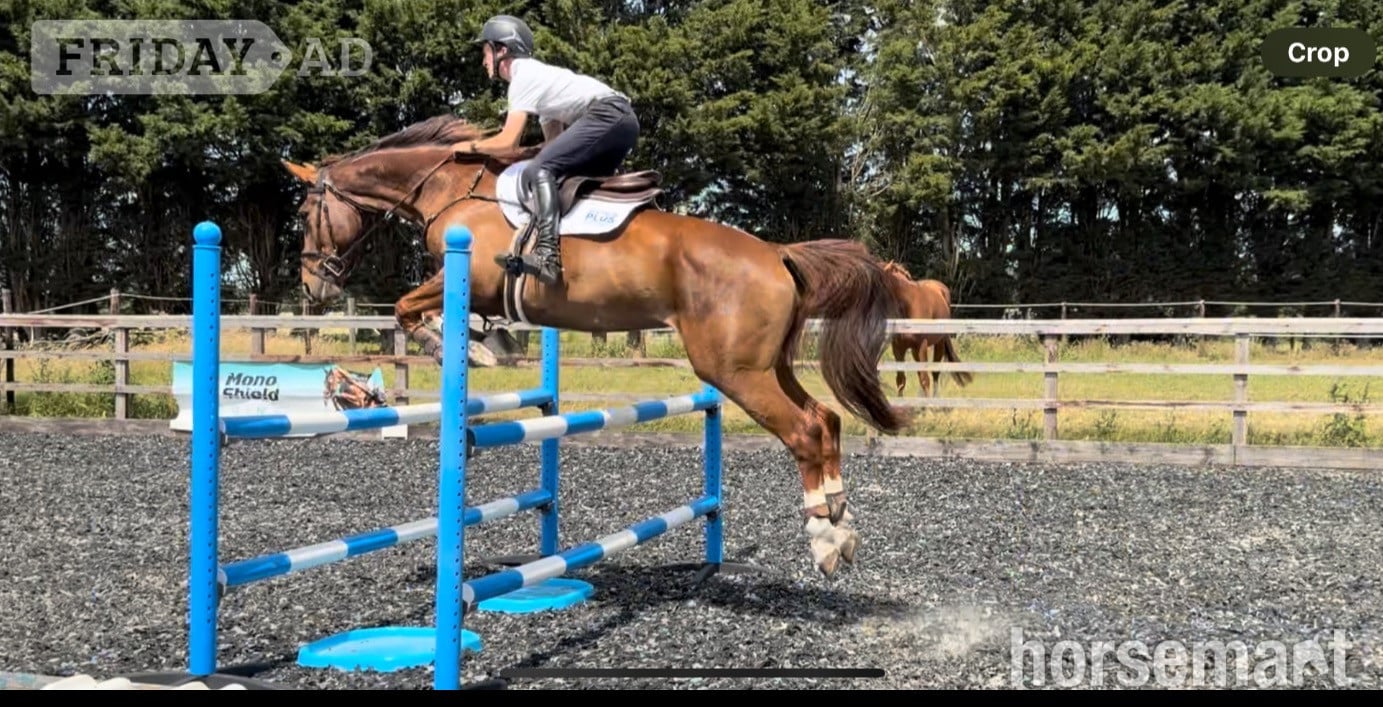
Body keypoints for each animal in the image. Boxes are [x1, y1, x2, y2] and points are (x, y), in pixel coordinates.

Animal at [279, 113, 914, 578]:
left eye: (306, 211)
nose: (313, 285)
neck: (451, 189)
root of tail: (777, 253)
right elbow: (436, 311)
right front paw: (494, 341)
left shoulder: (472, 276)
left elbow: (409, 307)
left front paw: (469, 348)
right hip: (767, 366)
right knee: (826, 420)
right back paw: (841, 522)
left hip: (734, 371)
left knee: (804, 431)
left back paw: (823, 540)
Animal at [879, 261, 974, 397]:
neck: (908, 306)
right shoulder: (898, 348)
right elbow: (901, 380)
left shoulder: (922, 346)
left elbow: (925, 379)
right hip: (915, 351)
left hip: (938, 344)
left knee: (934, 373)